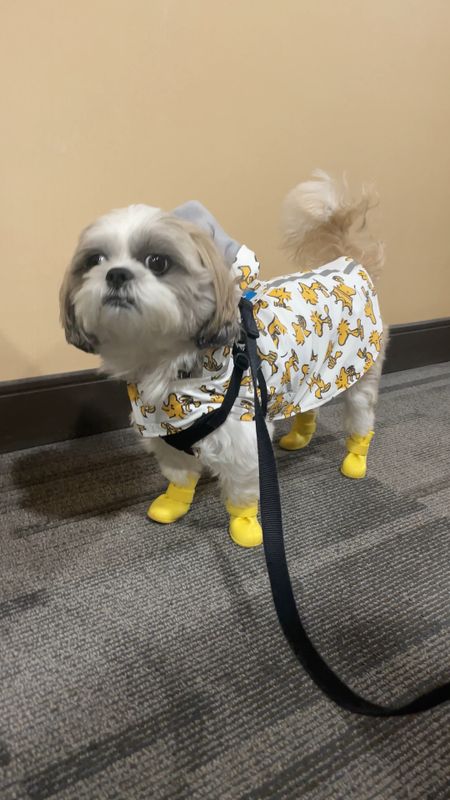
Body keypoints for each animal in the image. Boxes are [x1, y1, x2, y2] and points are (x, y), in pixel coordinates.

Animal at [60, 171, 386, 548]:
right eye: (95, 261)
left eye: (157, 262)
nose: (116, 273)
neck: (171, 372)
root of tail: (348, 264)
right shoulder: (163, 433)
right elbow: (179, 476)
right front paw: (173, 503)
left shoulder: (243, 438)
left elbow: (242, 490)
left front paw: (244, 524)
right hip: (310, 375)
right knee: (309, 406)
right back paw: (299, 437)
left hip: (359, 373)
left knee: (361, 419)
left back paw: (355, 460)